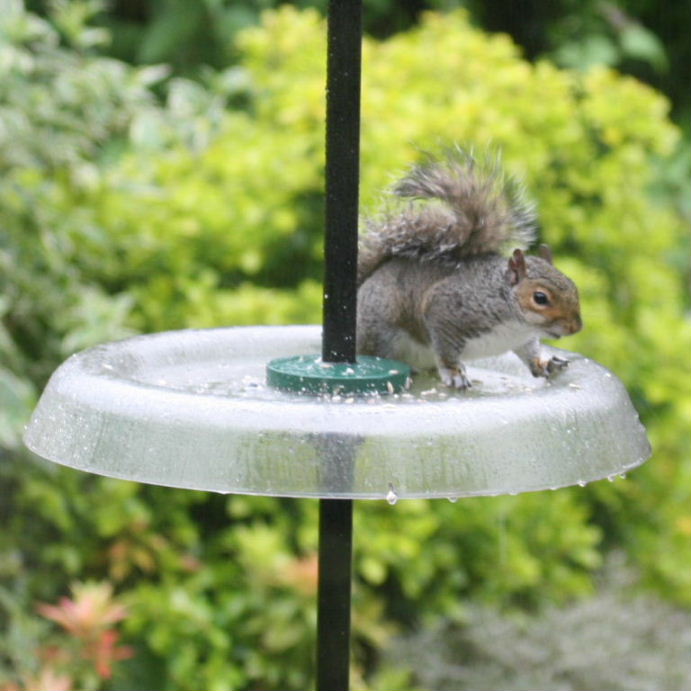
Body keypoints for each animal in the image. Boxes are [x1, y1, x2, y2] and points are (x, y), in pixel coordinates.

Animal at [356, 148, 583, 389]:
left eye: (574, 288)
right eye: (540, 298)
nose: (575, 328)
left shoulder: (524, 338)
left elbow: (530, 352)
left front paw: (545, 363)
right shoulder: (445, 309)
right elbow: (445, 349)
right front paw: (454, 372)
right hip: (381, 333)